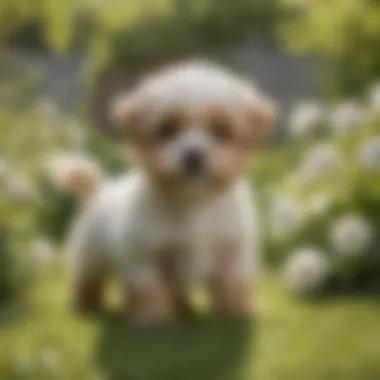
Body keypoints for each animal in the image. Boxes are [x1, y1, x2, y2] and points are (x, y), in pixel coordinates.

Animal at [61, 61, 276, 324]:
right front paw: (153, 319)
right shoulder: (146, 257)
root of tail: (99, 190)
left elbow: (233, 286)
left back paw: (185, 309)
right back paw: (85, 305)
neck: (194, 203)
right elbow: (150, 290)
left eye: (221, 131)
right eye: (167, 130)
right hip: (90, 255)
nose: (193, 157)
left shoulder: (232, 253)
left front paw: (237, 313)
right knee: (88, 281)